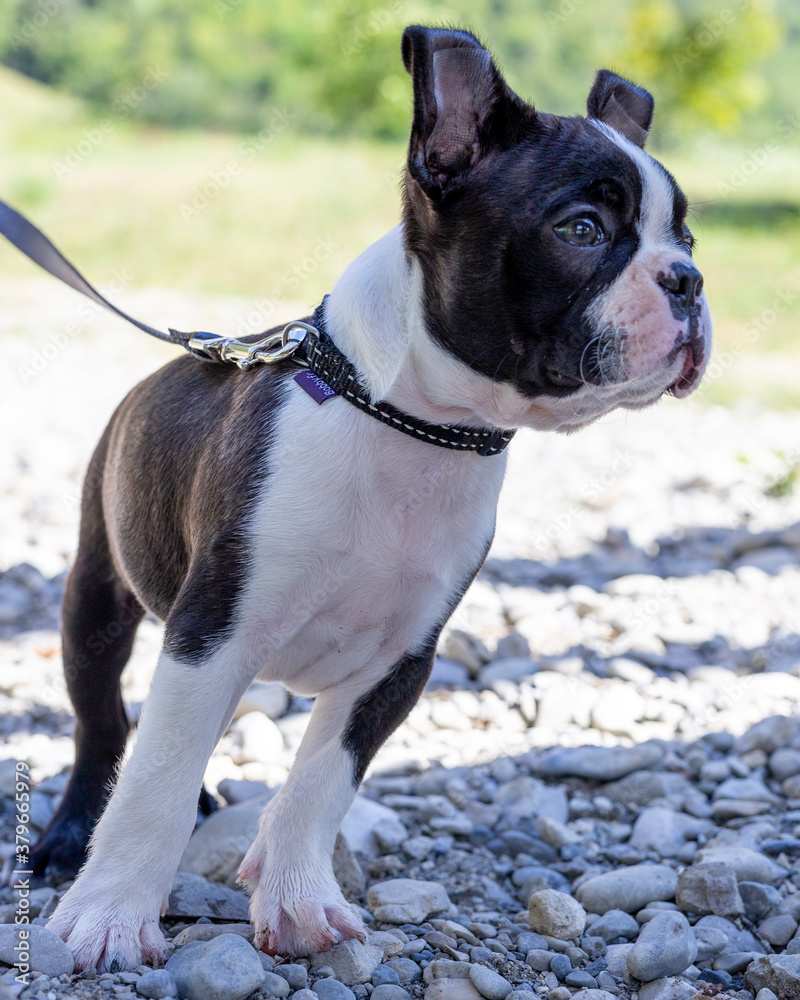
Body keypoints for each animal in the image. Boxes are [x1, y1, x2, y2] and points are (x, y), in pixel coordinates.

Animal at [31, 27, 708, 972]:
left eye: (688, 236)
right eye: (583, 230)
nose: (688, 280)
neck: (414, 427)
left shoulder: (397, 662)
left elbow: (320, 783)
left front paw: (296, 899)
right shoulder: (211, 633)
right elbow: (156, 778)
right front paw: (112, 915)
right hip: (98, 592)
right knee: (102, 722)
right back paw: (71, 835)